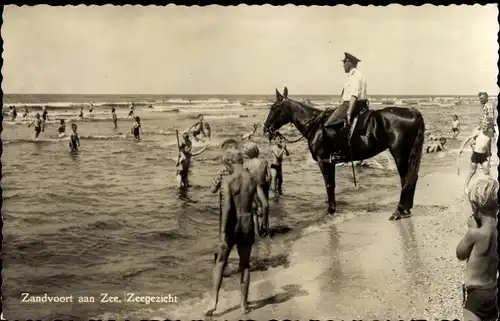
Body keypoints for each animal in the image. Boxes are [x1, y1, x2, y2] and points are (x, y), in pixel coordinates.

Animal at [264, 86, 424, 220]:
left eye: (274, 107)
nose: (266, 128)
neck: (316, 125)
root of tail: (412, 112)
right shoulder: (330, 162)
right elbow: (332, 185)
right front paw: (333, 208)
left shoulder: (324, 161)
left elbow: (329, 185)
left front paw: (330, 210)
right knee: (412, 178)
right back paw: (406, 209)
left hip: (400, 154)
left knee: (406, 179)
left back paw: (399, 211)